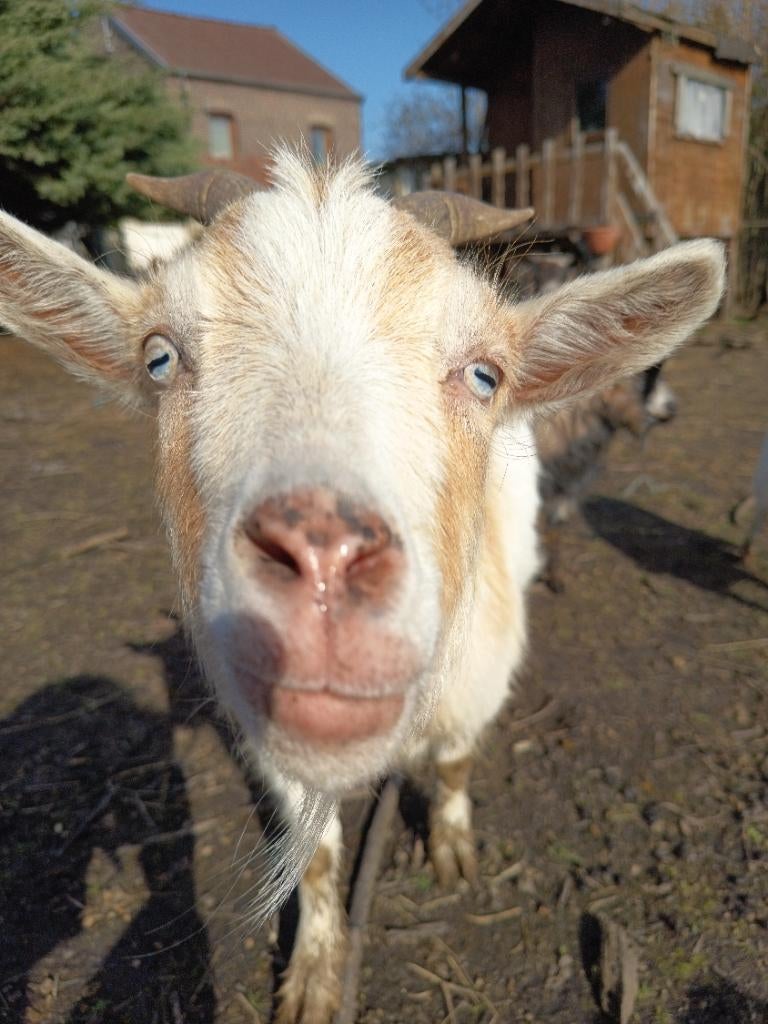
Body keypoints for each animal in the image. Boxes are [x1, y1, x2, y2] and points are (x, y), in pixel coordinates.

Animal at [0, 151, 724, 1024]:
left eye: (485, 375)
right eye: (159, 358)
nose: (322, 563)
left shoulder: (480, 682)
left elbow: (455, 766)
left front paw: (451, 849)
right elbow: (314, 855)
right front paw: (313, 976)